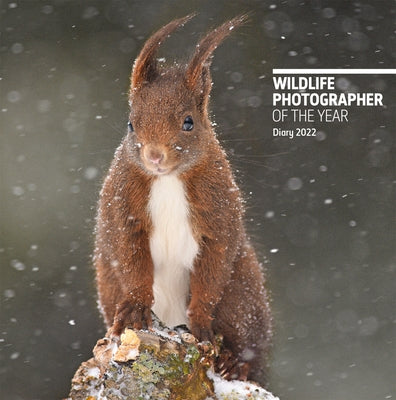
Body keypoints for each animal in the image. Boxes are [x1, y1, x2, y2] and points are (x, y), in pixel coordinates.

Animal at [93, 14, 272, 384]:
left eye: (188, 122)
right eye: (130, 124)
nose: (154, 155)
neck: (168, 180)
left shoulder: (219, 213)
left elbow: (212, 269)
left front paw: (201, 325)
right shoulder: (121, 209)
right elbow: (131, 261)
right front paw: (134, 309)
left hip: (242, 295)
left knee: (247, 341)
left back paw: (234, 362)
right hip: (108, 282)